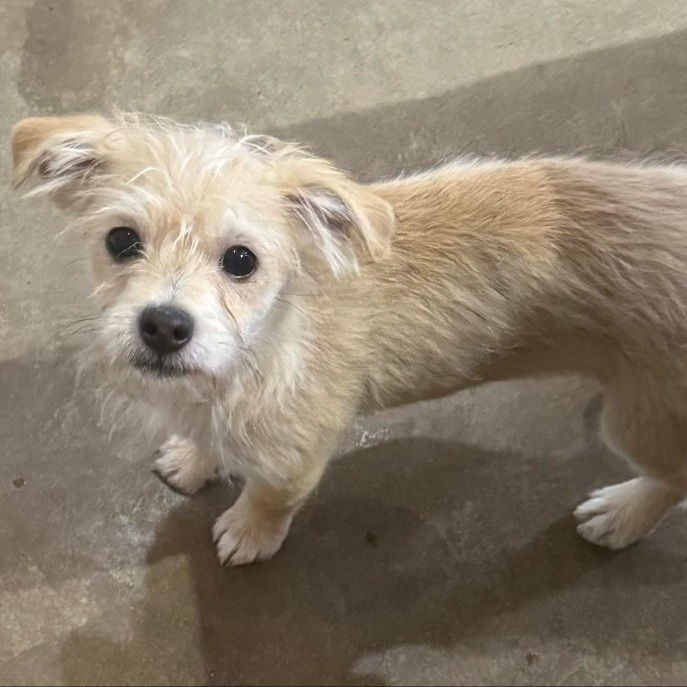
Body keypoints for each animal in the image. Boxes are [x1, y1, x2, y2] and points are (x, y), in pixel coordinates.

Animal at [9, 111, 687, 564]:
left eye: (241, 261)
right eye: (121, 240)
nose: (164, 326)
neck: (269, 343)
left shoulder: (296, 458)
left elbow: (271, 496)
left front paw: (250, 532)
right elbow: (207, 436)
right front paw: (195, 458)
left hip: (644, 421)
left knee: (673, 479)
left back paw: (624, 516)